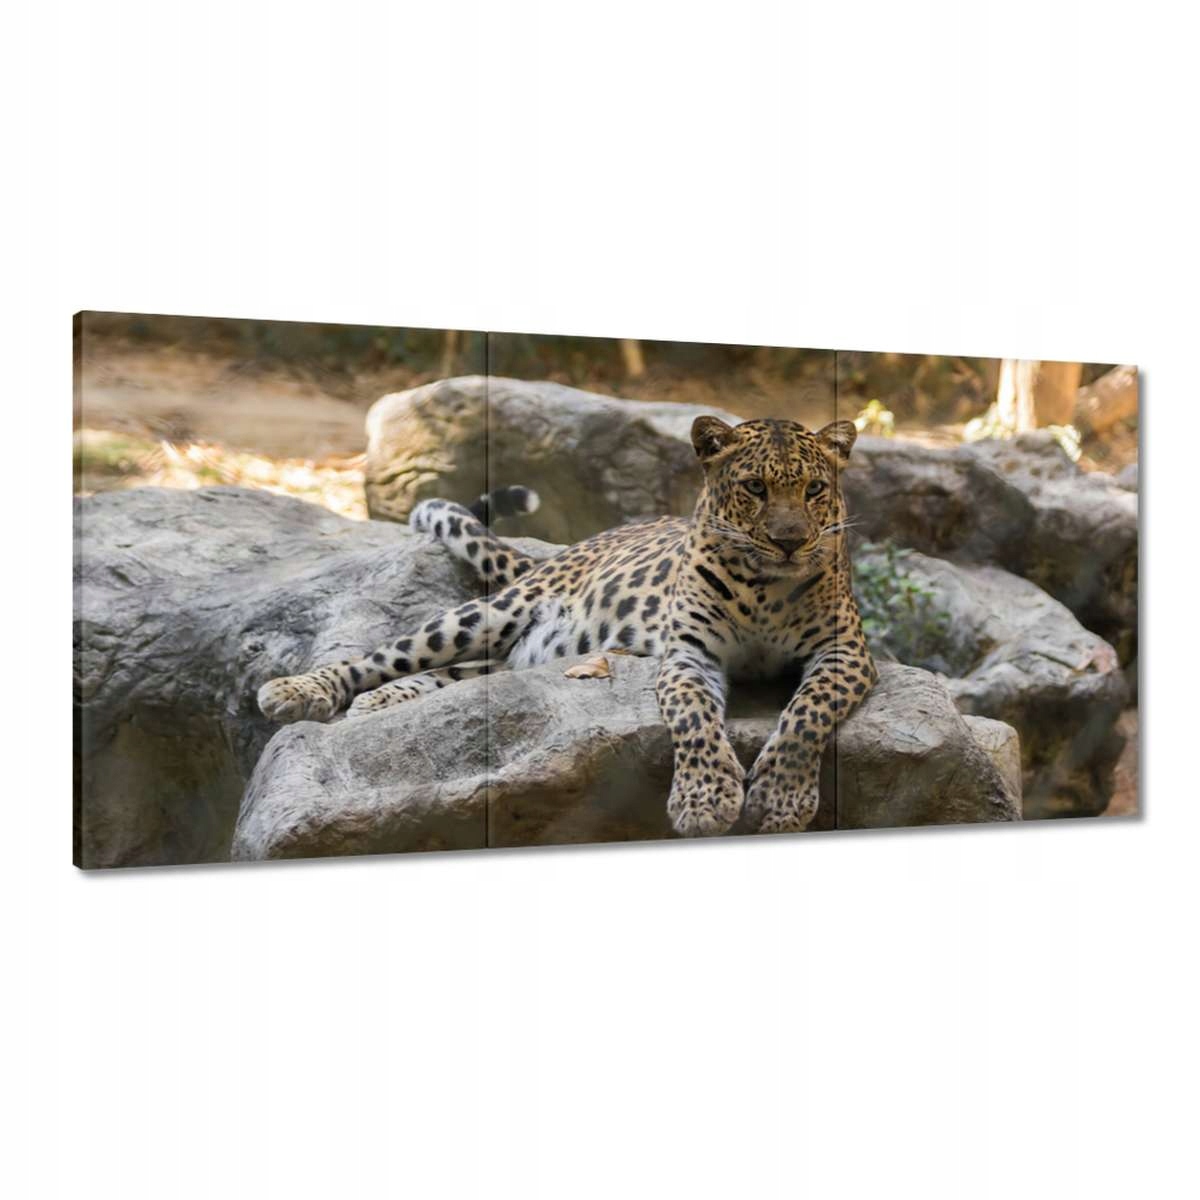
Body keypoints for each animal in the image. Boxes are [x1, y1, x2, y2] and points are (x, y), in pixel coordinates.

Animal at [257, 416, 878, 837]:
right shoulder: (689, 656)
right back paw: (298, 690)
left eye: (815, 490)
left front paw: (779, 799)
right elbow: (695, 720)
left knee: (460, 674)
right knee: (388, 653)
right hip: (489, 614)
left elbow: (806, 716)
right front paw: (704, 800)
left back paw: (380, 701)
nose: (790, 541)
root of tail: (569, 550)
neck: (764, 586)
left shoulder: (845, 653)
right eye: (754, 488)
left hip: (521, 653)